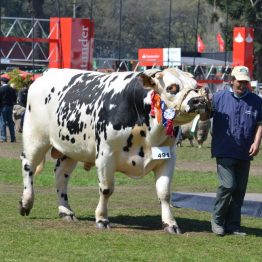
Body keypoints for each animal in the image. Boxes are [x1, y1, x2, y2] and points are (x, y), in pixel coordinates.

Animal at [18, 67, 209, 233]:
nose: (199, 101)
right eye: (172, 88)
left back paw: (66, 211)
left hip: (70, 149)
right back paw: (26, 203)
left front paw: (170, 223)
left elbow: (165, 193)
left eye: (196, 86)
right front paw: (102, 219)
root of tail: (49, 72)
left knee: (60, 176)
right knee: (28, 167)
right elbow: (106, 189)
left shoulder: (167, 157)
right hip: (35, 138)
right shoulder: (105, 154)